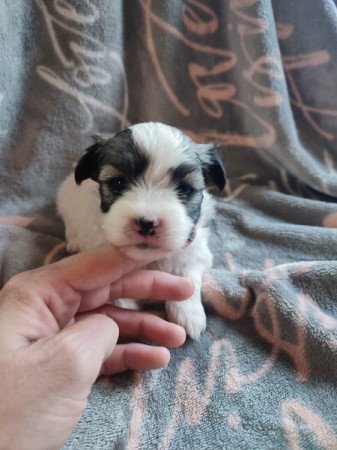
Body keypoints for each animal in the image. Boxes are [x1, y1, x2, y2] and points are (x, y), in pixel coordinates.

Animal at [57, 121, 226, 340]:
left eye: (185, 190)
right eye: (117, 183)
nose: (147, 223)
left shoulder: (195, 249)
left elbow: (186, 275)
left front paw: (188, 314)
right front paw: (124, 306)